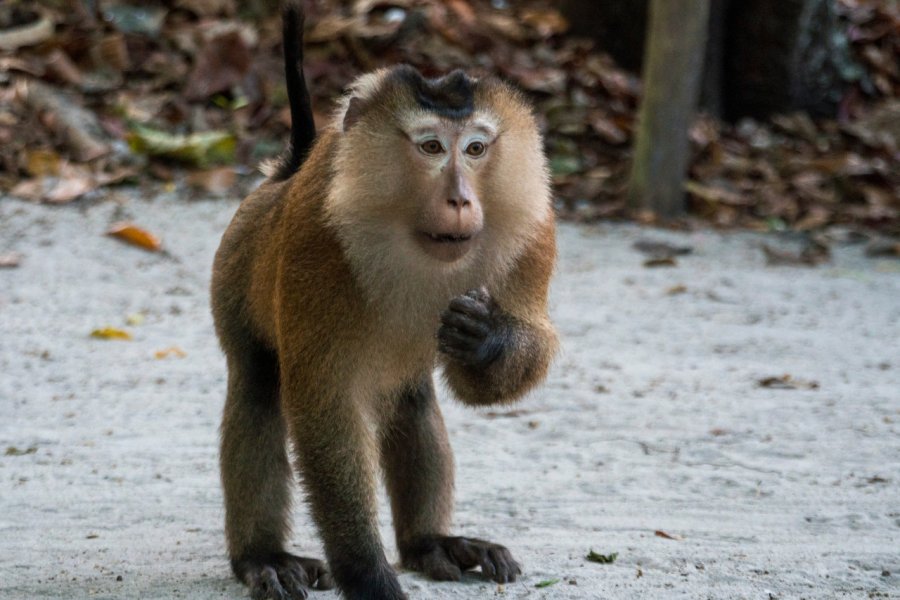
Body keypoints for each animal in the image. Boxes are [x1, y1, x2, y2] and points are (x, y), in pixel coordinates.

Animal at [212, 2, 560, 596]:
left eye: (475, 148)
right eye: (431, 147)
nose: (461, 199)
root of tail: (281, 178)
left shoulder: (535, 231)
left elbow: (506, 362)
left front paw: (488, 339)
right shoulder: (315, 239)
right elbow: (325, 404)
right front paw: (365, 571)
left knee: (410, 397)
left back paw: (429, 543)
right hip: (234, 269)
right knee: (257, 384)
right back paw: (262, 557)